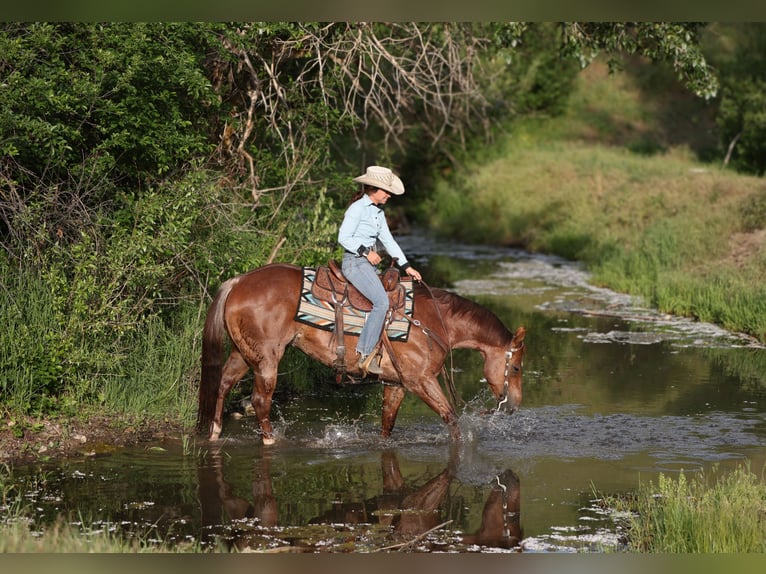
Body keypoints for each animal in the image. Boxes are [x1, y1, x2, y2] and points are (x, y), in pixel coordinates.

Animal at [197, 263, 526, 444]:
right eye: (517, 368)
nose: (514, 406)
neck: (434, 322)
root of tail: (238, 281)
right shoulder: (421, 381)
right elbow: (451, 418)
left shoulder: (396, 384)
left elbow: (387, 425)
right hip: (267, 359)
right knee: (260, 401)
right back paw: (270, 441)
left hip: (243, 353)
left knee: (222, 384)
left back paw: (214, 433)